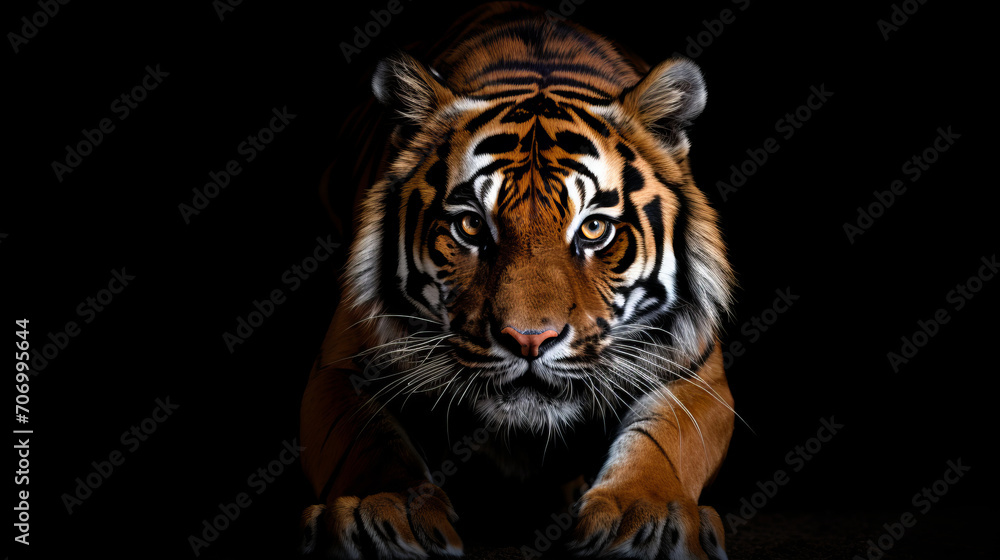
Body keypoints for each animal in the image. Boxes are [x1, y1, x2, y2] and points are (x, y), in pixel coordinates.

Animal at [299, 2, 736, 558]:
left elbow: (663, 442)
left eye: (594, 228)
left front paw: (644, 517)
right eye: (470, 226)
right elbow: (367, 439)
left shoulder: (698, 374)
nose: (530, 340)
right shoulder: (340, 365)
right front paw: (381, 509)